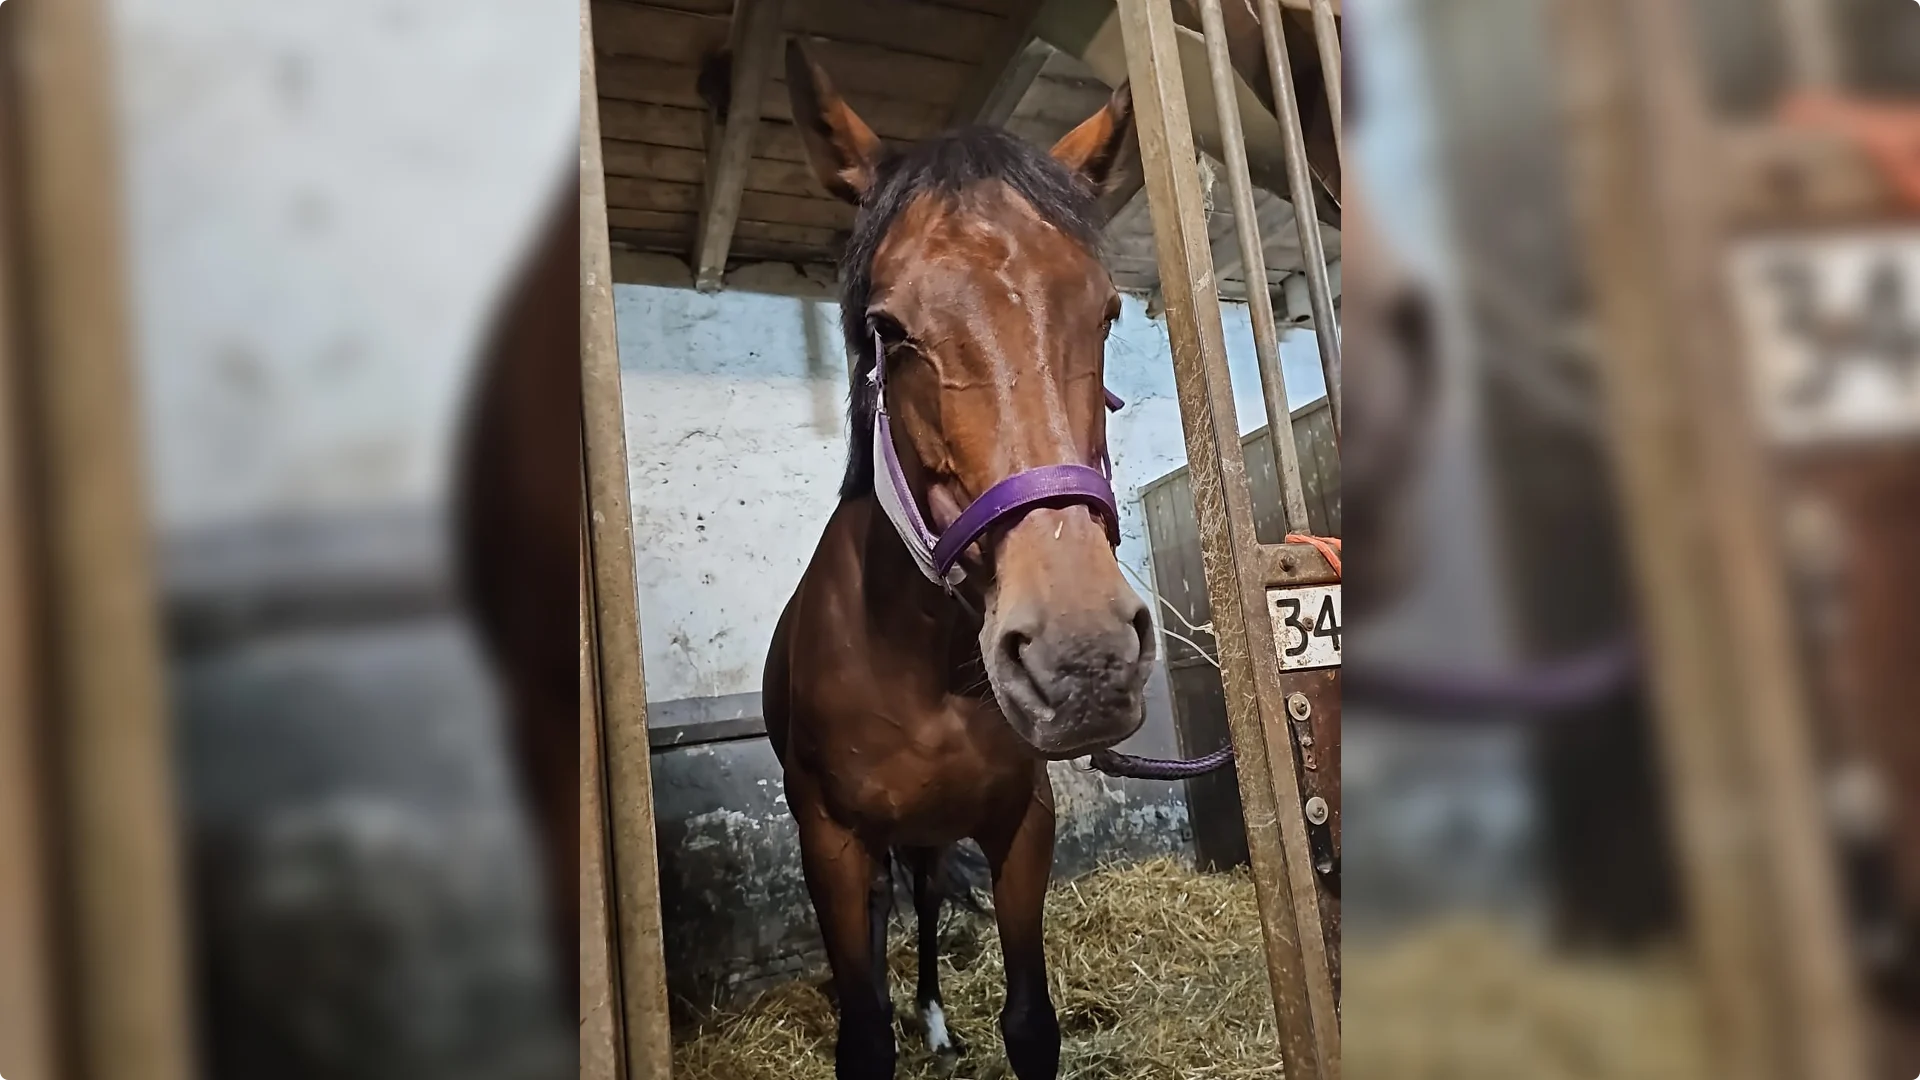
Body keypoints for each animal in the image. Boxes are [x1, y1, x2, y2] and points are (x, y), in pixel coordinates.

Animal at [762, 42, 1152, 1080]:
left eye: (1107, 315)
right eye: (890, 331)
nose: (1083, 659)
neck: (923, 659)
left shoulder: (1021, 825)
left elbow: (1030, 1024)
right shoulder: (830, 843)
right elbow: (862, 1035)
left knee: (931, 898)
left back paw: (936, 1017)